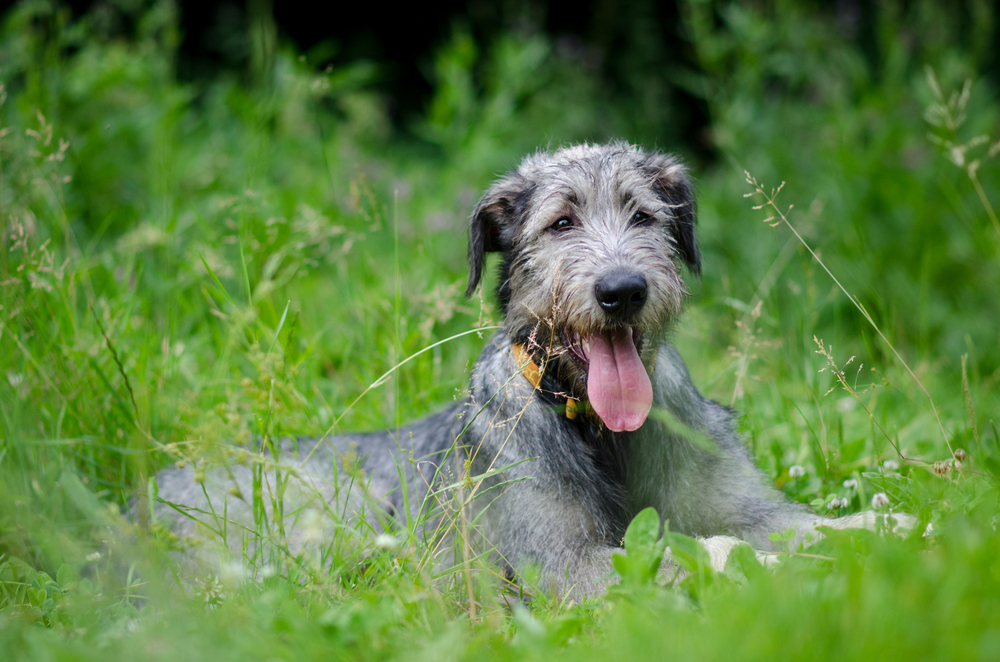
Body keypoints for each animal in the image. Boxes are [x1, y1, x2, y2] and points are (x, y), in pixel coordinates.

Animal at [148, 143, 900, 600]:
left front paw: (892, 526)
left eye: (644, 215)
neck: (599, 430)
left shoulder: (744, 506)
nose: (622, 290)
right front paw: (771, 570)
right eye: (560, 223)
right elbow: (696, 553)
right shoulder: (564, 567)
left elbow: (806, 524)